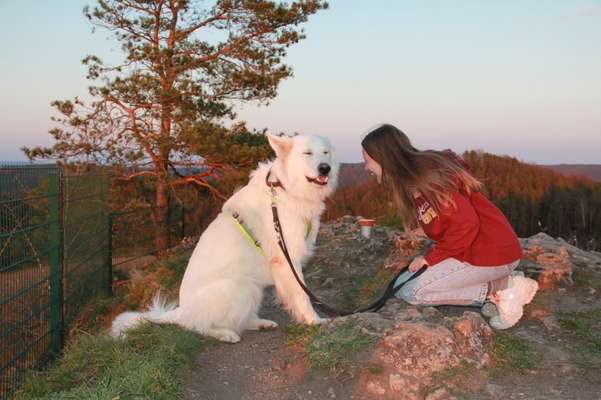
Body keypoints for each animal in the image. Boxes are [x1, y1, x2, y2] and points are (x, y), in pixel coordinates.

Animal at [111, 134, 338, 344]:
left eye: (326, 153)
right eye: (307, 153)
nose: (325, 169)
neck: (285, 188)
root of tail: (180, 311)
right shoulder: (287, 258)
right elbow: (303, 295)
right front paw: (314, 321)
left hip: (253, 288)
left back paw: (260, 323)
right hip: (239, 286)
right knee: (198, 327)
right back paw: (225, 334)